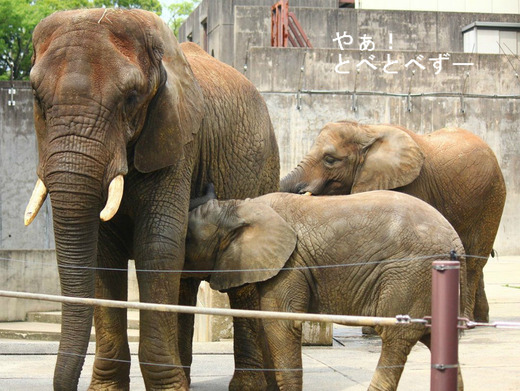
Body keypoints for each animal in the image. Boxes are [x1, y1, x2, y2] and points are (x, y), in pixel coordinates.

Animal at [24, 9, 280, 391]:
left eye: (131, 97)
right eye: (37, 97)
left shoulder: (178, 139)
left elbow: (157, 246)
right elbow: (103, 255)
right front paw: (108, 389)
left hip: (262, 169)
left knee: (243, 282)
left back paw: (245, 386)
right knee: (185, 281)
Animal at [185, 191, 470, 390]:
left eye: (187, 239)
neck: (235, 207)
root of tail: (457, 242)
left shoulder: (290, 265)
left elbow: (280, 324)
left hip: (410, 274)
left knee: (396, 338)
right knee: (434, 337)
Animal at [282, 121, 506, 324]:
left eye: (330, 159)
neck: (366, 130)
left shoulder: (411, 184)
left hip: (493, 197)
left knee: (474, 259)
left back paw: (468, 321)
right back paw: (481, 320)